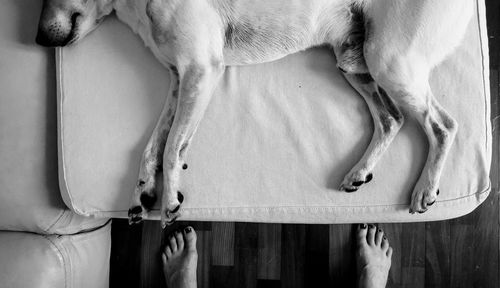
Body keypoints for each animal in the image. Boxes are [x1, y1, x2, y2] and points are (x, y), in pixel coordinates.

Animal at [36, 0, 472, 227]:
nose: (37, 39)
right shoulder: (179, 78)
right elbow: (155, 145)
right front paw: (143, 191)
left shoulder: (200, 70)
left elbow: (171, 145)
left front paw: (170, 200)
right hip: (355, 62)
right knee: (392, 119)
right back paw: (358, 172)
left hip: (389, 60)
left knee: (444, 125)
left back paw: (426, 189)